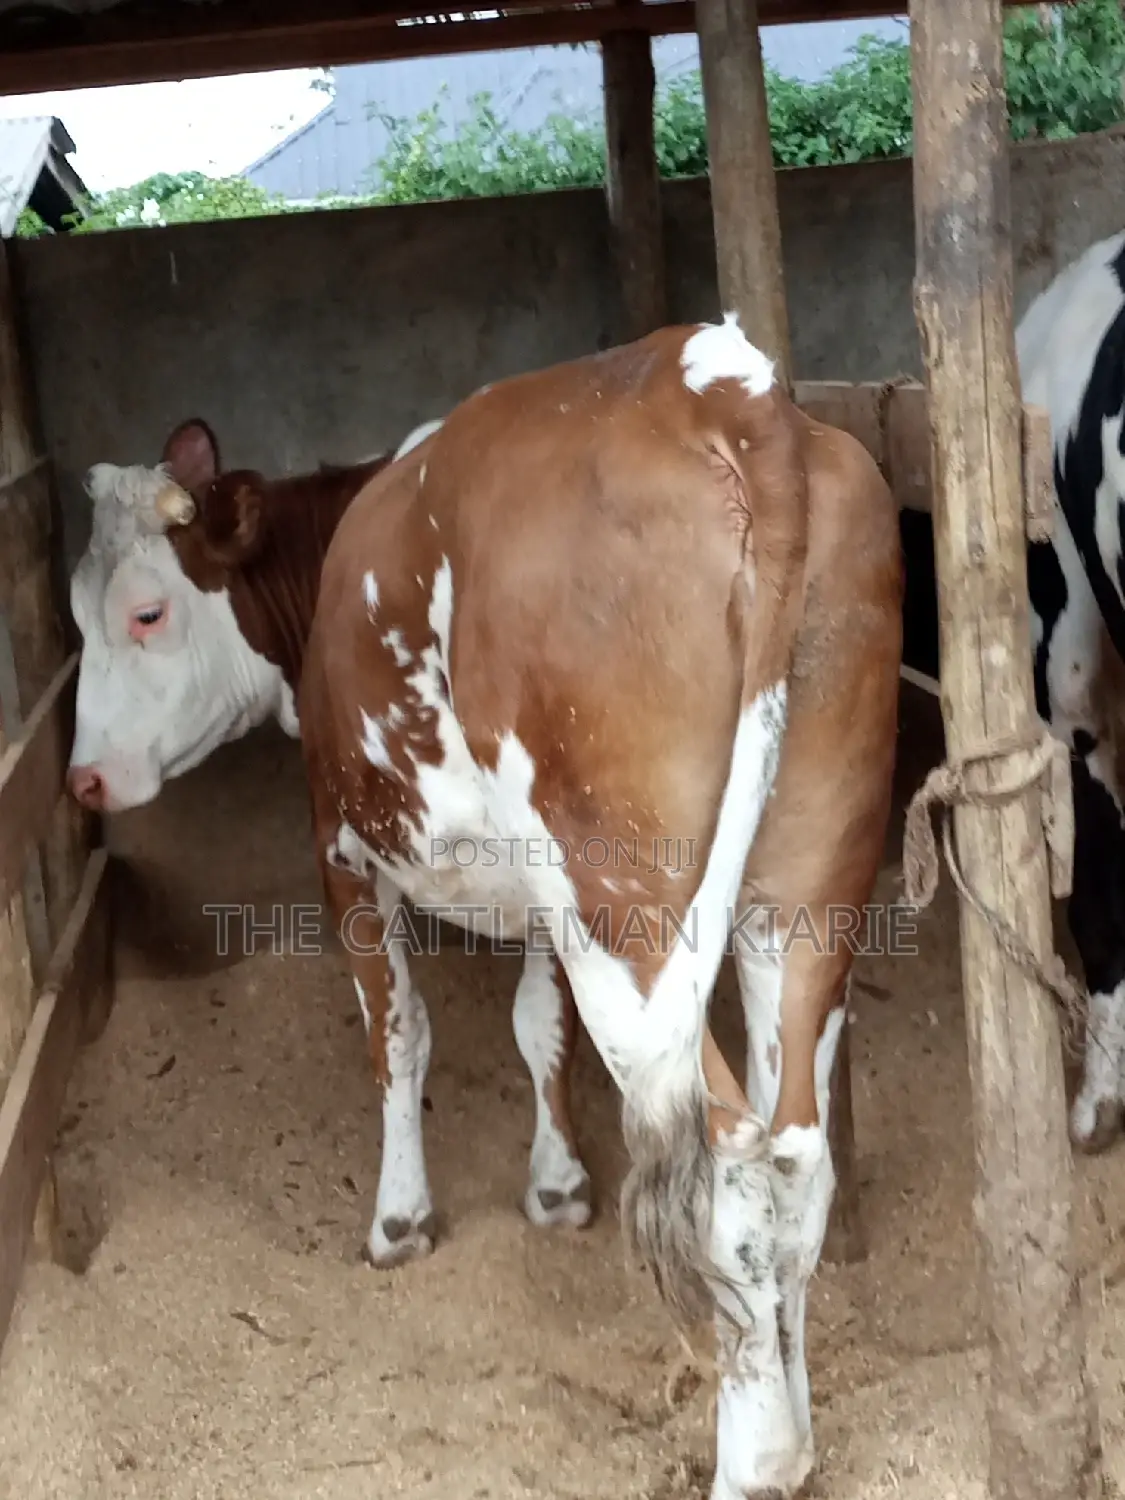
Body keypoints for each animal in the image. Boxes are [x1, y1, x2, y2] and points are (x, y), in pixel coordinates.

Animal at [294, 315, 903, 1498]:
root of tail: (711, 378)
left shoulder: (342, 848)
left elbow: (399, 1033)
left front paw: (399, 1219)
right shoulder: (538, 905)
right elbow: (537, 1026)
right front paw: (556, 1186)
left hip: (623, 902)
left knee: (729, 1166)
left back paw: (754, 1462)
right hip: (806, 888)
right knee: (794, 1153)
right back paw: (793, 1439)